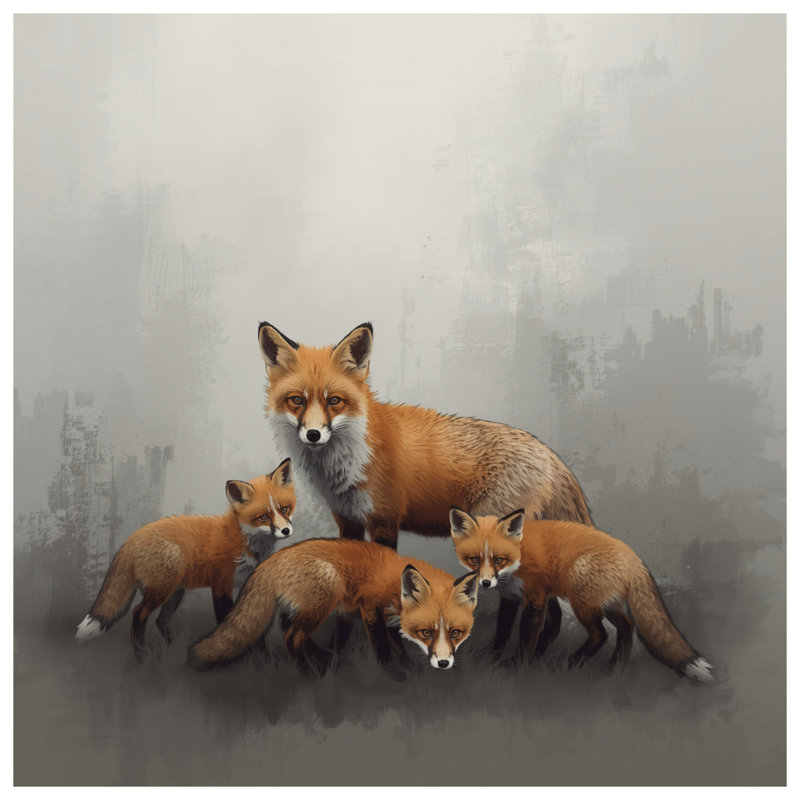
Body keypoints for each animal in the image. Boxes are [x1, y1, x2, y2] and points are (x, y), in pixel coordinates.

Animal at [75, 459, 296, 661]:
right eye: (264, 517)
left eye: (284, 509)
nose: (286, 531)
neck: (244, 540)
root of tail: (132, 538)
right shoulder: (221, 583)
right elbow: (226, 622)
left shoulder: (248, 583)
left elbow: (250, 625)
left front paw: (260, 656)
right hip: (163, 588)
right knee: (139, 613)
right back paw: (141, 656)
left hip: (175, 591)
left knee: (161, 621)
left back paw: (171, 652)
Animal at [186, 537, 480, 674]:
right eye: (427, 632)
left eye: (456, 633)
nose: (443, 663)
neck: (395, 586)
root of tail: (271, 560)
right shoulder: (370, 609)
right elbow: (383, 647)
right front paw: (394, 676)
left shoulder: (389, 619)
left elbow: (397, 645)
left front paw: (407, 667)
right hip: (327, 592)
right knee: (291, 637)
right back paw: (307, 675)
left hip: (302, 607)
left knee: (287, 628)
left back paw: (322, 659)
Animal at [257, 321, 593, 651]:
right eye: (297, 400)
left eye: (334, 401)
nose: (313, 435)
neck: (348, 458)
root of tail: (549, 454)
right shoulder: (348, 520)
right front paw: (338, 653)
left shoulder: (384, 520)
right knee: (551, 612)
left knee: (523, 601)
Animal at [449, 506, 714, 682]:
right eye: (474, 560)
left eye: (498, 560)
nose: (485, 583)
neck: (518, 557)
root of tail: (634, 558)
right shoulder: (511, 597)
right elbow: (502, 633)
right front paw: (492, 659)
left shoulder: (535, 596)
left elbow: (526, 637)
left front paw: (517, 667)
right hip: (602, 603)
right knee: (626, 627)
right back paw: (614, 670)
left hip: (580, 596)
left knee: (601, 635)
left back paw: (570, 664)